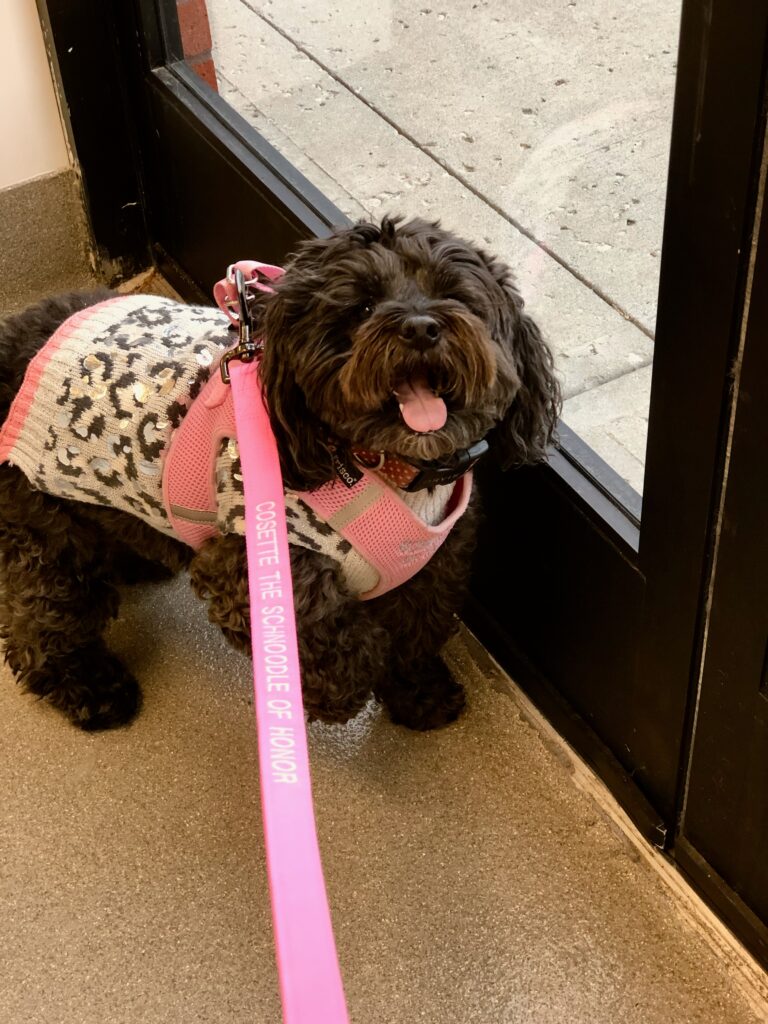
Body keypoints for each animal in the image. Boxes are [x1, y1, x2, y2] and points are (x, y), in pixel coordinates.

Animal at [0, 218, 557, 729]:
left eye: (454, 296)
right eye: (362, 308)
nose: (420, 326)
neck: (386, 469)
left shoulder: (434, 567)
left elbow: (417, 631)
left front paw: (419, 693)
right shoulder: (257, 567)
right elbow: (335, 641)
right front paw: (338, 696)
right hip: (42, 528)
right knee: (43, 617)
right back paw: (90, 687)